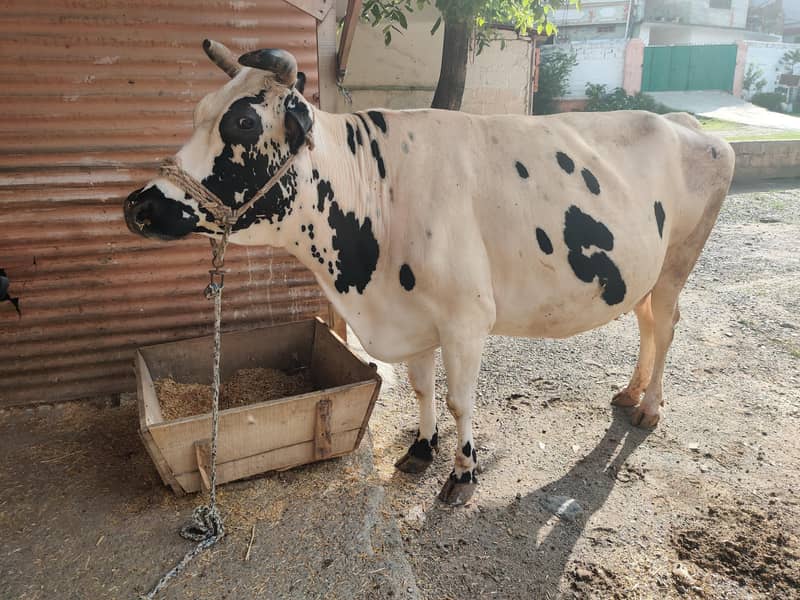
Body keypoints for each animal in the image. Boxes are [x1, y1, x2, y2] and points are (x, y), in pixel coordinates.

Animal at [124, 42, 735, 505]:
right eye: (200, 111)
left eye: (245, 120)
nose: (138, 206)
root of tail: (685, 123)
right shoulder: (413, 319)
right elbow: (422, 388)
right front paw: (421, 449)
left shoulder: (466, 320)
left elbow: (461, 400)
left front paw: (463, 473)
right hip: (643, 271)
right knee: (646, 321)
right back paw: (629, 393)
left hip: (679, 260)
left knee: (667, 324)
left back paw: (649, 408)